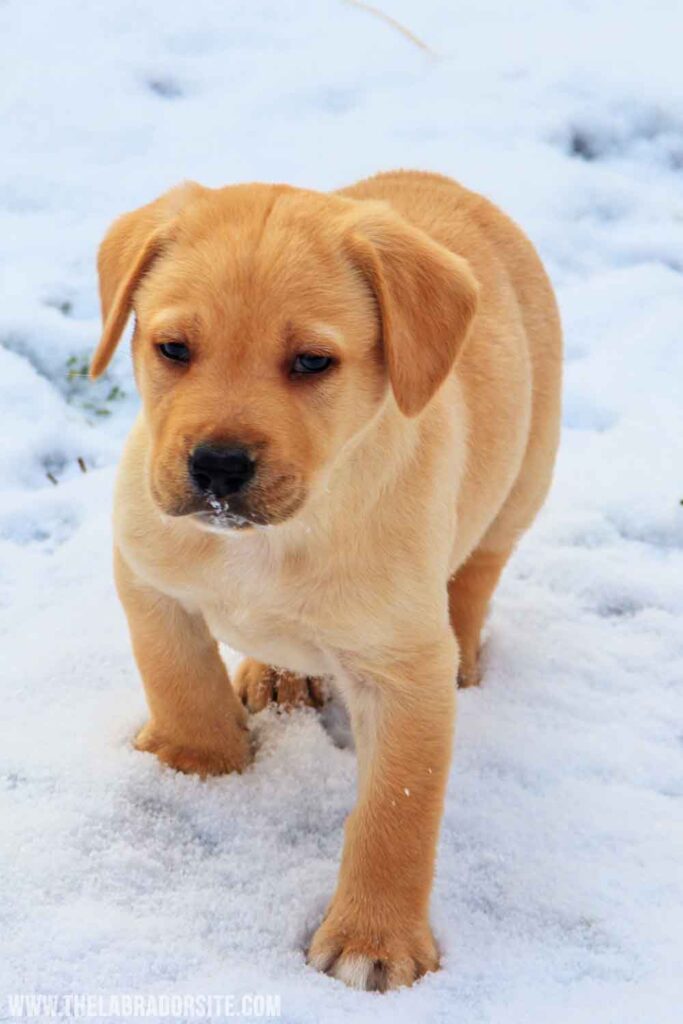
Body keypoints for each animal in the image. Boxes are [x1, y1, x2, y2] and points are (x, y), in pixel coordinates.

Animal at [90, 169, 561, 991]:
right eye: (173, 348)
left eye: (312, 363)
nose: (217, 466)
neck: (273, 541)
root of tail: (448, 183)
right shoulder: (147, 572)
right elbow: (176, 677)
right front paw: (198, 765)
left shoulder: (404, 670)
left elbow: (397, 812)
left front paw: (376, 939)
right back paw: (278, 675)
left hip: (527, 473)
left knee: (479, 570)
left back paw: (467, 650)